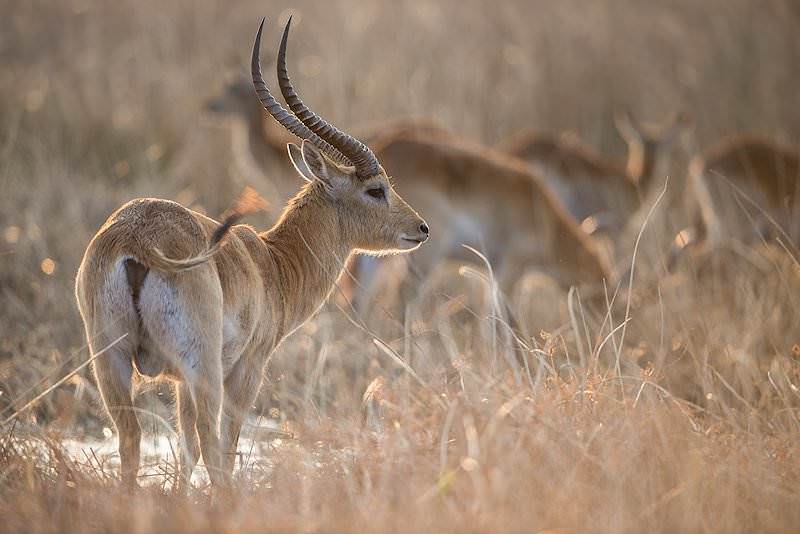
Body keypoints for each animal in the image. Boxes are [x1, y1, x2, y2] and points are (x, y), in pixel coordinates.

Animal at [73, 16, 432, 492]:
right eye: (376, 189)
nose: (421, 228)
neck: (272, 263)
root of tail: (136, 243)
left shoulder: (177, 384)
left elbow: (185, 452)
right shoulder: (247, 369)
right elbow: (221, 446)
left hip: (110, 361)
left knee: (131, 441)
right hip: (202, 369)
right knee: (211, 445)